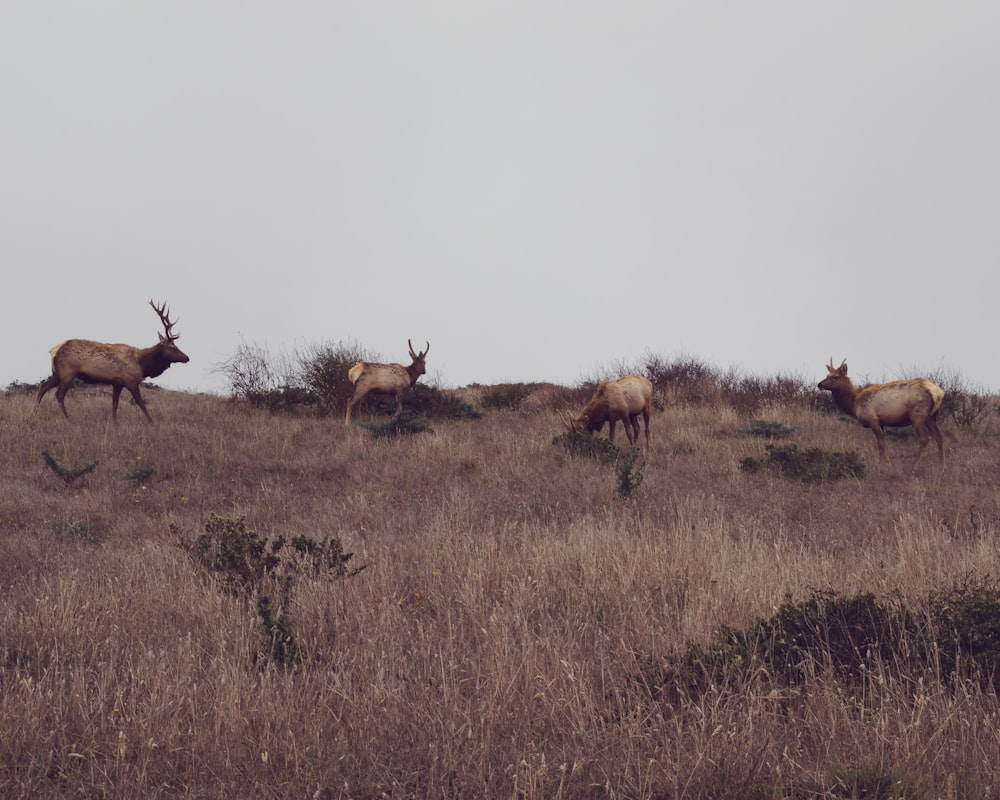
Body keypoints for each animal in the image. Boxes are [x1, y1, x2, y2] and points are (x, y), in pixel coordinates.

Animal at [36, 300, 189, 424]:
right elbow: (141, 403)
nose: (187, 358)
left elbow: (114, 404)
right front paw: (152, 422)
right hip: (67, 373)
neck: (142, 364)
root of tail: (53, 350)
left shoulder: (117, 383)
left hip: (57, 373)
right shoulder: (130, 381)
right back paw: (67, 419)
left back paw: (34, 411)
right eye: (172, 347)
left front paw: (115, 423)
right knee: (59, 394)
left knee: (43, 387)